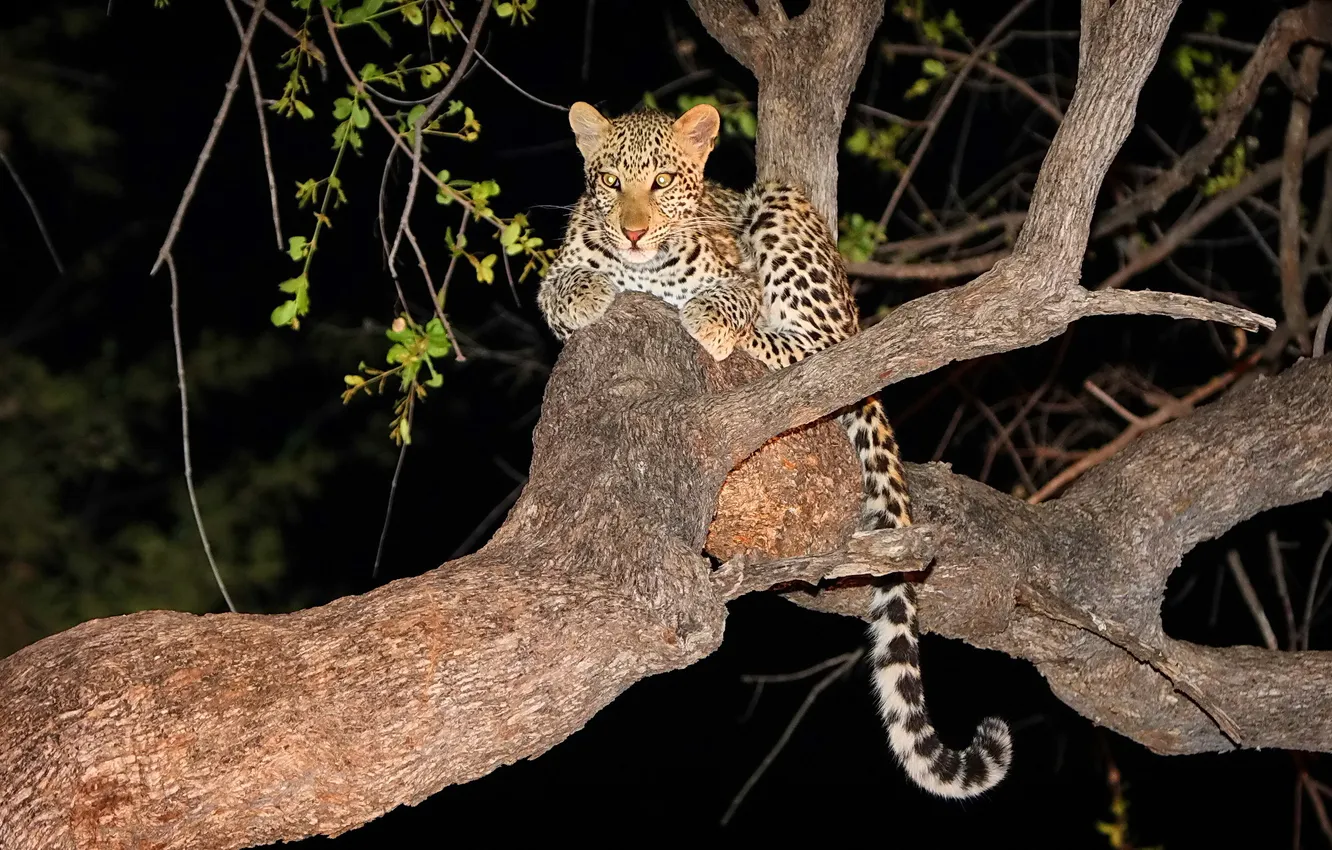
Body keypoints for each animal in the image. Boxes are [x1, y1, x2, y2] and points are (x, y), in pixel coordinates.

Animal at [537, 101, 1012, 799]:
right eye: (612, 182)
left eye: (661, 182)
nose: (634, 232)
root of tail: (854, 308)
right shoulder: (561, 277)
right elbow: (560, 287)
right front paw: (591, 288)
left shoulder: (736, 273)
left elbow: (730, 295)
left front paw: (705, 316)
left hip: (782, 217)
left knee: (816, 347)